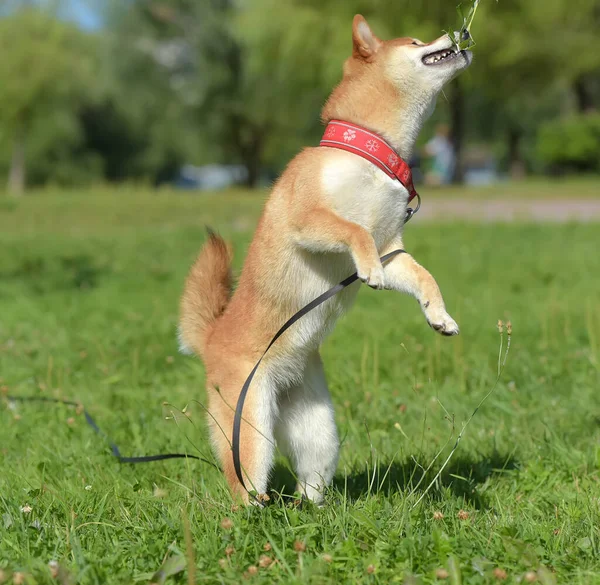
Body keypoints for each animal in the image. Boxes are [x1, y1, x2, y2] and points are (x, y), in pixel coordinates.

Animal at [178, 16, 474, 504]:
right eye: (416, 40)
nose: (459, 33)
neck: (369, 154)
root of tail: (212, 338)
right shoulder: (310, 219)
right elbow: (354, 231)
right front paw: (367, 269)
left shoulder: (392, 245)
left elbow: (423, 276)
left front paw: (439, 315)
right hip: (251, 433)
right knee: (244, 489)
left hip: (318, 431)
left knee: (311, 481)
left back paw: (315, 511)